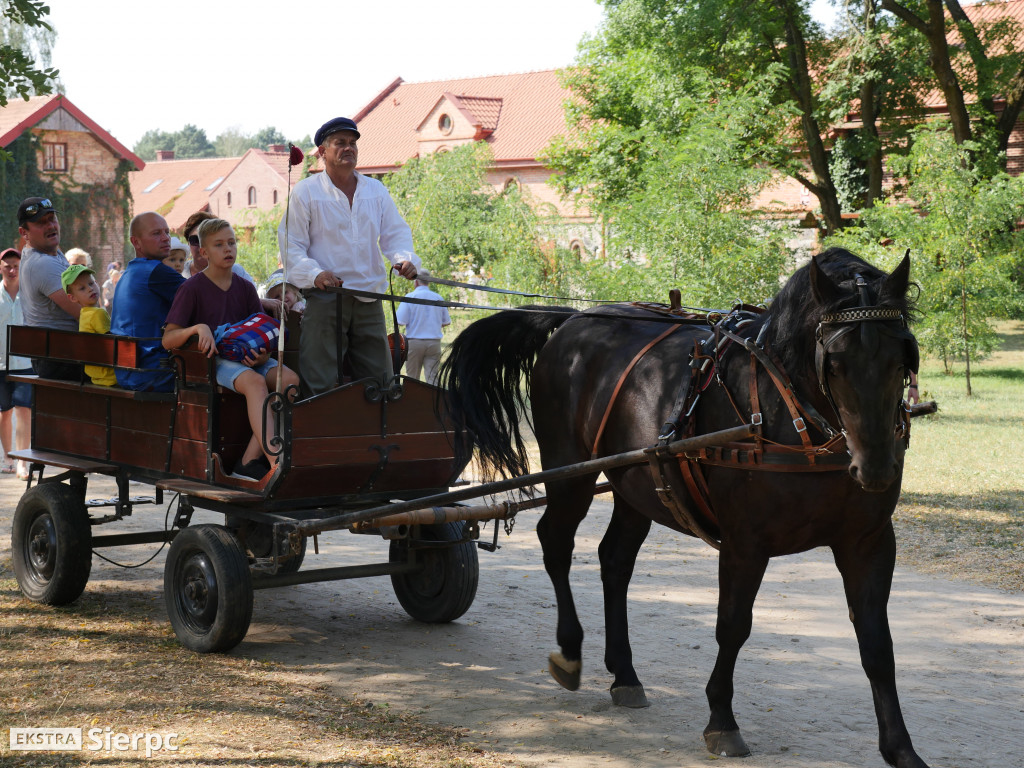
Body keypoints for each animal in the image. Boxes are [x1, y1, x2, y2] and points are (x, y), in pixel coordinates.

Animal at [438, 249, 929, 765]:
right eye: (833, 362)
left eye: (903, 357)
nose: (875, 467)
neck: (792, 418)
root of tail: (575, 318)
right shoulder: (744, 544)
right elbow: (733, 626)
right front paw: (722, 721)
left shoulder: (868, 543)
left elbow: (877, 643)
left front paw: (900, 748)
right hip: (570, 470)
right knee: (556, 542)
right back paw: (570, 651)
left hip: (636, 482)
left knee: (615, 561)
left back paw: (625, 674)